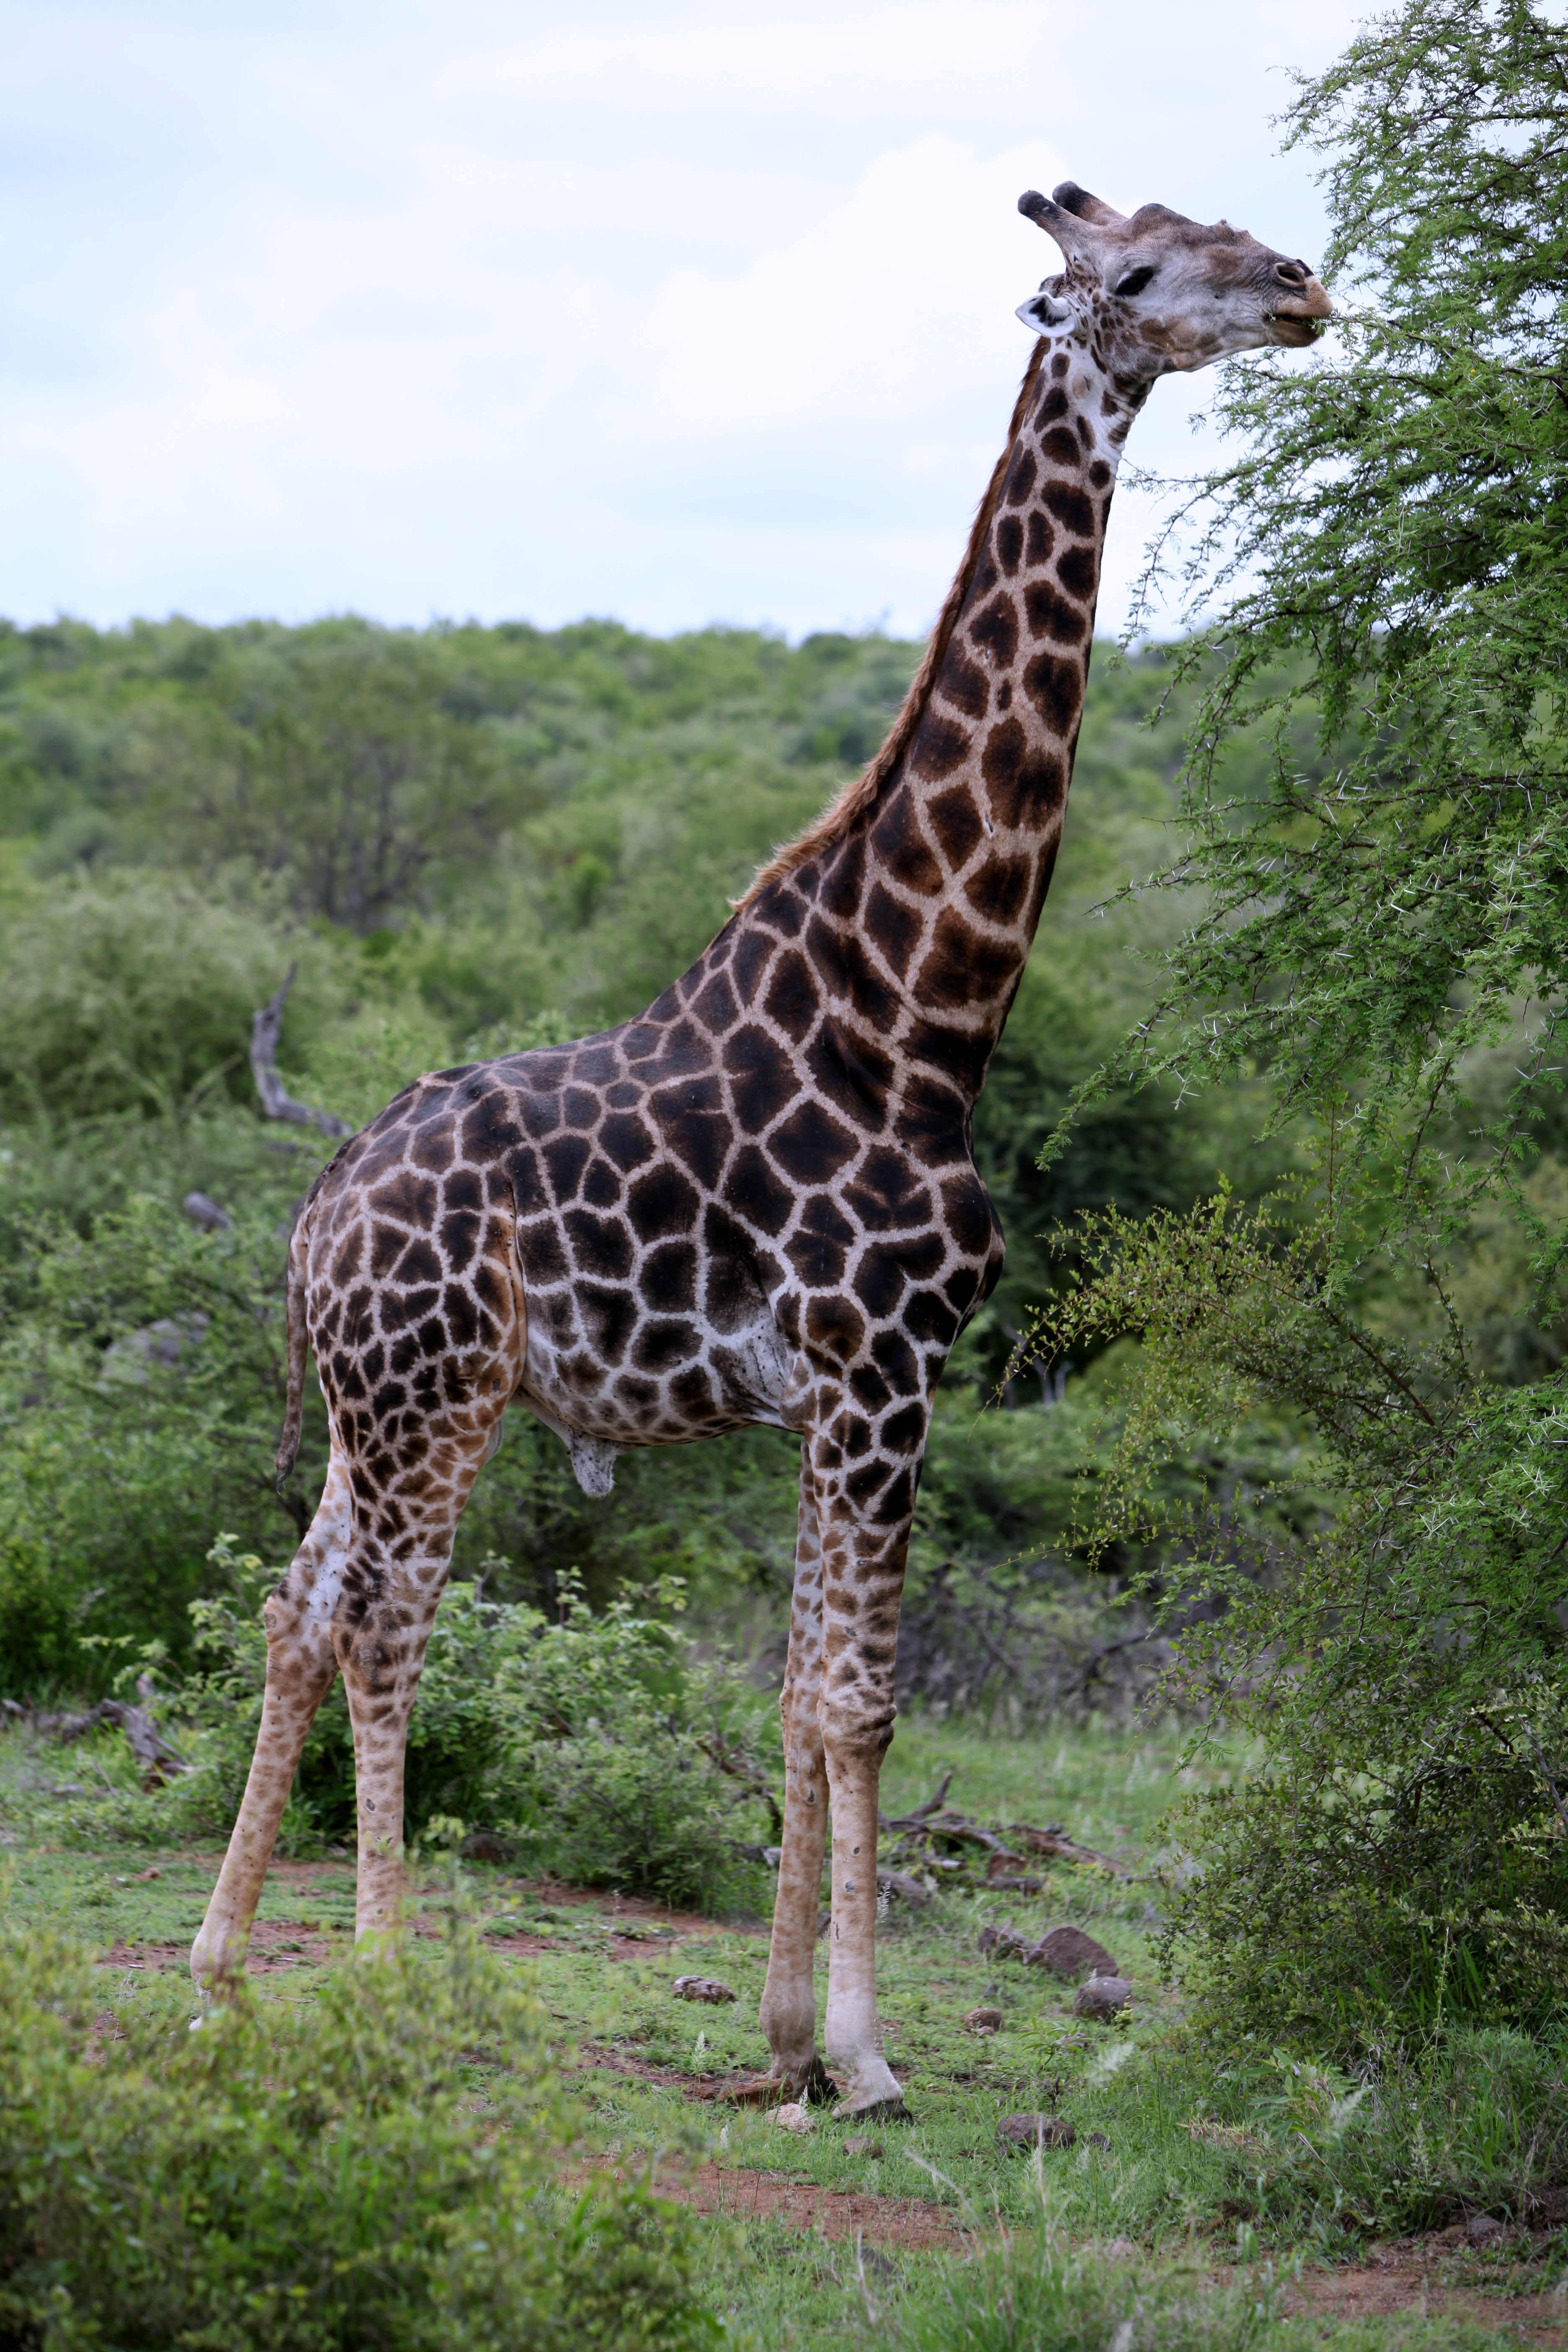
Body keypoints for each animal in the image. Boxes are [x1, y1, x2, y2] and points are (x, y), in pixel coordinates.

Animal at [192, 182, 1329, 2118]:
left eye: (1217, 227)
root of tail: (313, 1211)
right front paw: (863, 2058)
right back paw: (382, 1973)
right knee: (386, 1625)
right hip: (438, 1398)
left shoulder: (833, 1395)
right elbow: (857, 1698)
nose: (1306, 286)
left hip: (367, 1402)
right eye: (1141, 269)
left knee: (292, 1606)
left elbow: (805, 1688)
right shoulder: (888, 1368)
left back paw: (215, 1973)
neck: (925, 1009)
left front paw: (791, 2039)